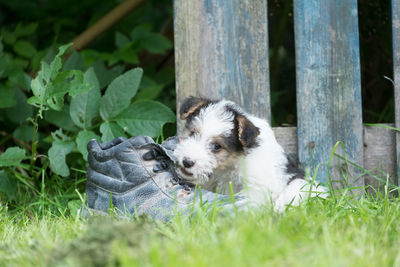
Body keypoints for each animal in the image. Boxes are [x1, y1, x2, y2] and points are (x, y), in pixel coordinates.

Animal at [173, 97, 326, 213]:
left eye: (217, 146)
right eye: (192, 133)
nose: (187, 161)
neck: (230, 163)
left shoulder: (256, 186)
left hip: (301, 185)